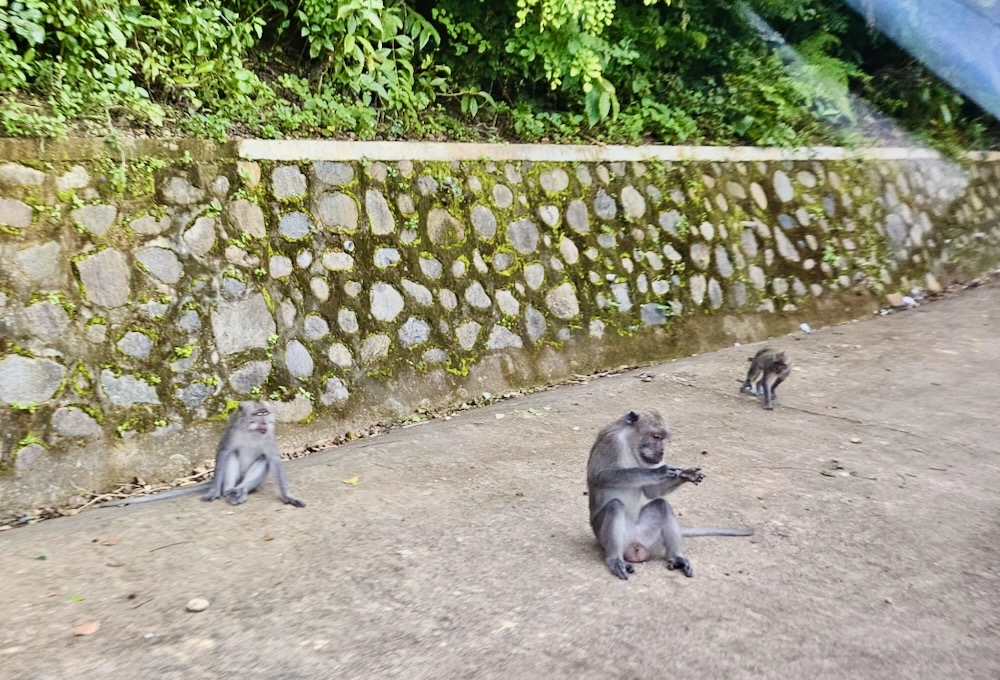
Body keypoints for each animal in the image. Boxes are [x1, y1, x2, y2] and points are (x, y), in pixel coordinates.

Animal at [102, 401, 304, 508]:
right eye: (258, 414)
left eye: (265, 413)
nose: (264, 422)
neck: (251, 431)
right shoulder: (232, 432)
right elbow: (224, 453)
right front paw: (214, 491)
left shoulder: (268, 435)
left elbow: (273, 460)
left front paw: (288, 497)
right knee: (231, 457)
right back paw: (227, 491)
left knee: (262, 460)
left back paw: (240, 490)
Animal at [587, 410, 752, 580]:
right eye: (656, 437)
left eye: (664, 439)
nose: (662, 452)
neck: (630, 443)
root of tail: (634, 542)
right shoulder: (611, 441)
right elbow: (599, 475)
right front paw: (658, 472)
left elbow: (652, 491)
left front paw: (685, 475)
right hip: (601, 535)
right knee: (615, 505)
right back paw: (615, 559)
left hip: (649, 539)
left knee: (662, 505)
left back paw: (677, 557)